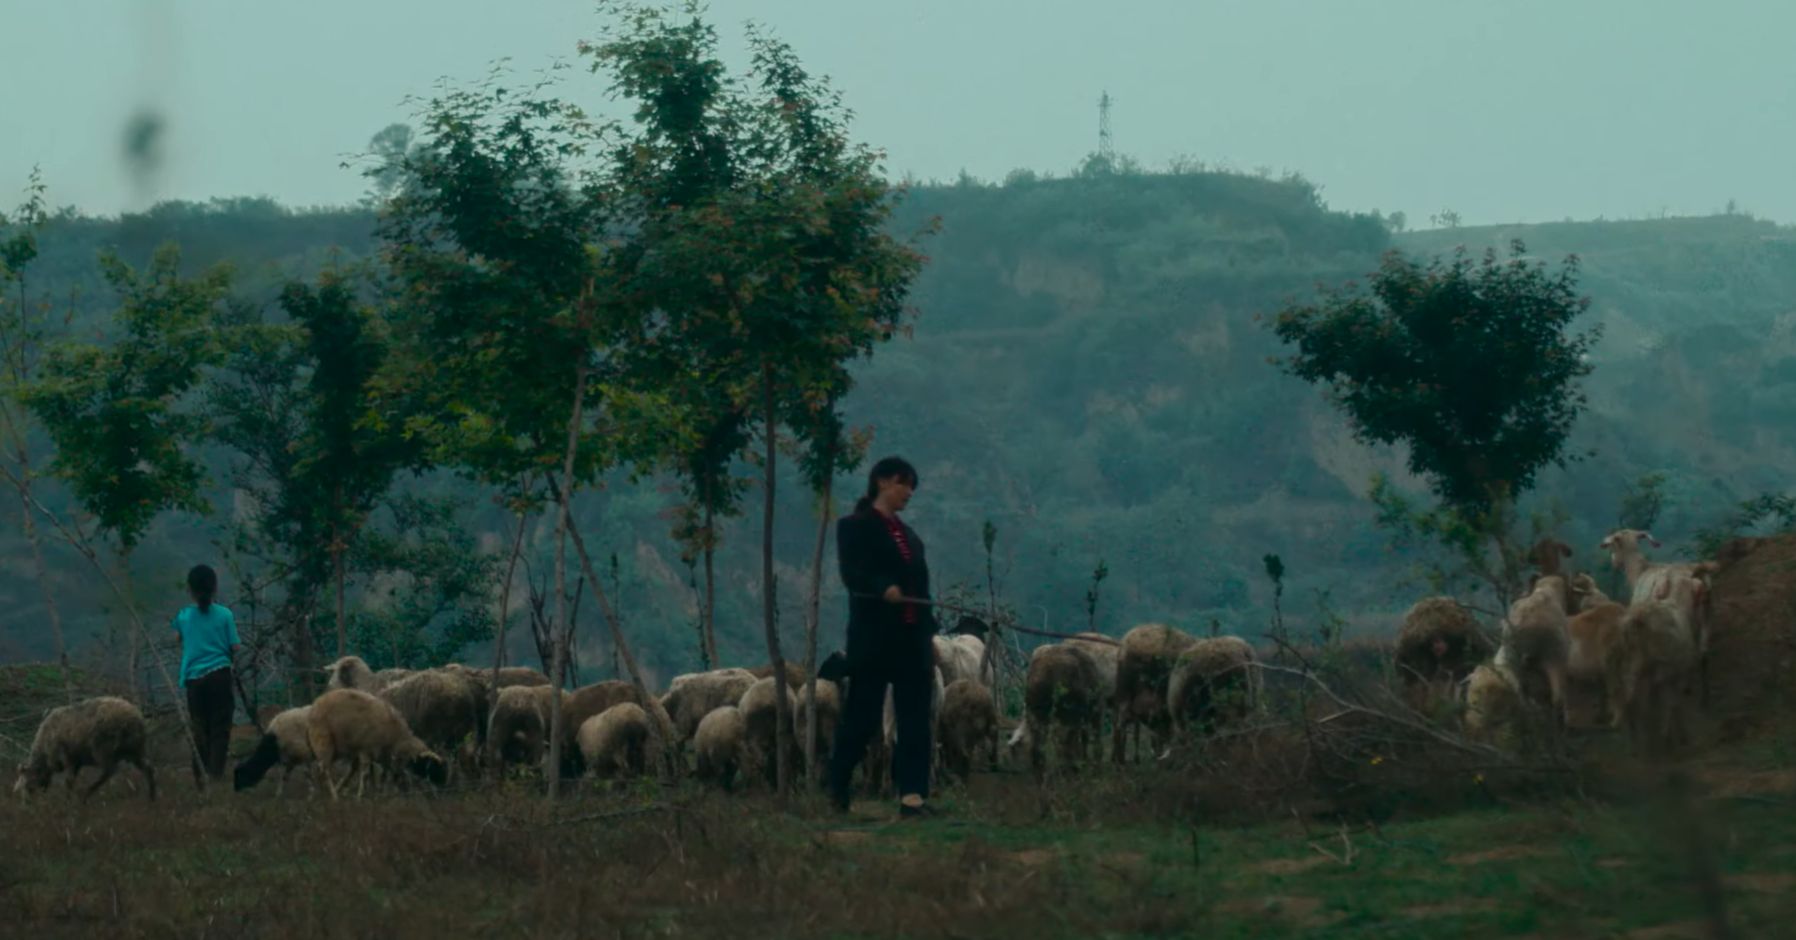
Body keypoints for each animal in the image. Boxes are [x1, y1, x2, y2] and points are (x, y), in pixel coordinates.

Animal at [12, 696, 156, 801]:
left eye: (27, 784)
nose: (27, 803)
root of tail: (135, 716)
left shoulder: (68, 756)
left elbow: (68, 781)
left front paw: (68, 799)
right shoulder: (77, 761)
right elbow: (71, 780)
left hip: (103, 746)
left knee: (109, 770)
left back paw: (86, 793)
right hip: (135, 747)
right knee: (147, 766)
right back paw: (151, 796)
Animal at [305, 689, 447, 800]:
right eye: (431, 767)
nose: (443, 788)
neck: (397, 738)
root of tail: (315, 704)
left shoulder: (376, 754)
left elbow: (376, 775)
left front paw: (376, 794)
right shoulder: (366, 751)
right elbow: (366, 774)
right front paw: (360, 796)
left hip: (334, 749)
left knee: (320, 770)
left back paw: (322, 793)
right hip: (324, 742)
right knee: (325, 770)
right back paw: (333, 796)